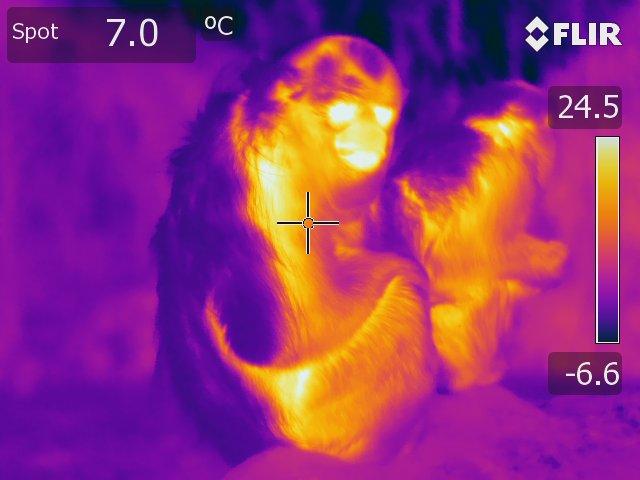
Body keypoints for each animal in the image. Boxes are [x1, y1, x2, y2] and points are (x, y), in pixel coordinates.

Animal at [153, 35, 566, 465]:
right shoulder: (266, 182)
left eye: (381, 116)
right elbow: (287, 336)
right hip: (333, 413)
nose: (372, 139)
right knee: (405, 293)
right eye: (345, 111)